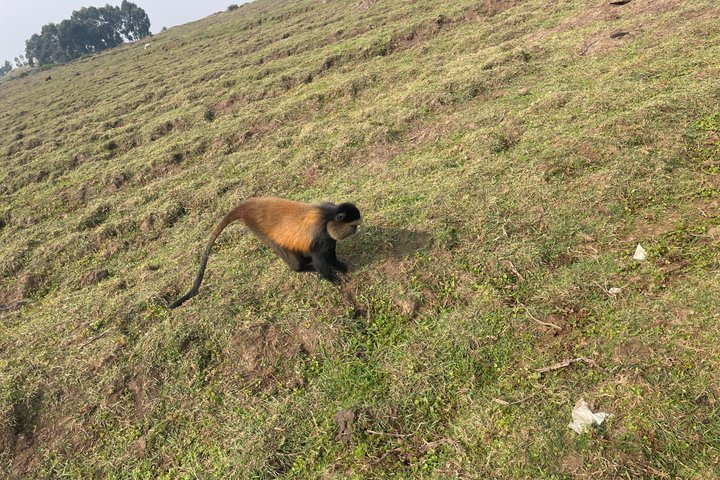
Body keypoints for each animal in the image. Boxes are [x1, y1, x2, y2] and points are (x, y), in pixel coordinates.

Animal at [169, 197, 361, 309]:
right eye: (354, 225)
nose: (356, 231)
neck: (329, 217)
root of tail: (250, 206)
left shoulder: (329, 237)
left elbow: (331, 252)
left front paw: (339, 266)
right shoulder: (320, 236)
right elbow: (321, 259)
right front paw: (331, 277)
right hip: (261, 231)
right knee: (294, 263)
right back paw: (305, 267)